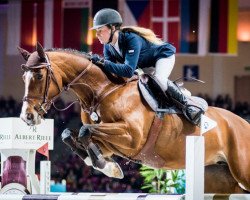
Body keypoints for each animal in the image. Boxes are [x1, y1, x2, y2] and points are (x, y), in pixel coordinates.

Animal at [19, 43, 250, 193]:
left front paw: (106, 166)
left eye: (38, 76)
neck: (102, 91)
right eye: (23, 77)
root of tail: (244, 123)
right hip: (217, 174)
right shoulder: (109, 144)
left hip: (242, 171)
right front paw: (108, 166)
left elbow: (85, 131)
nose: (27, 116)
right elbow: (70, 134)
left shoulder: (131, 137)